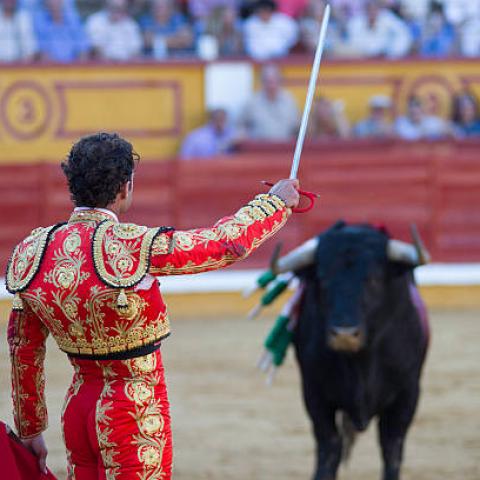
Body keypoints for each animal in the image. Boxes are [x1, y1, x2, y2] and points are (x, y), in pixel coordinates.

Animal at [294, 224, 430, 480]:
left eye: (373, 279)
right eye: (323, 279)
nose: (345, 334)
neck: (359, 362)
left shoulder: (408, 393)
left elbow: (391, 449)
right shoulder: (314, 393)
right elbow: (329, 446)